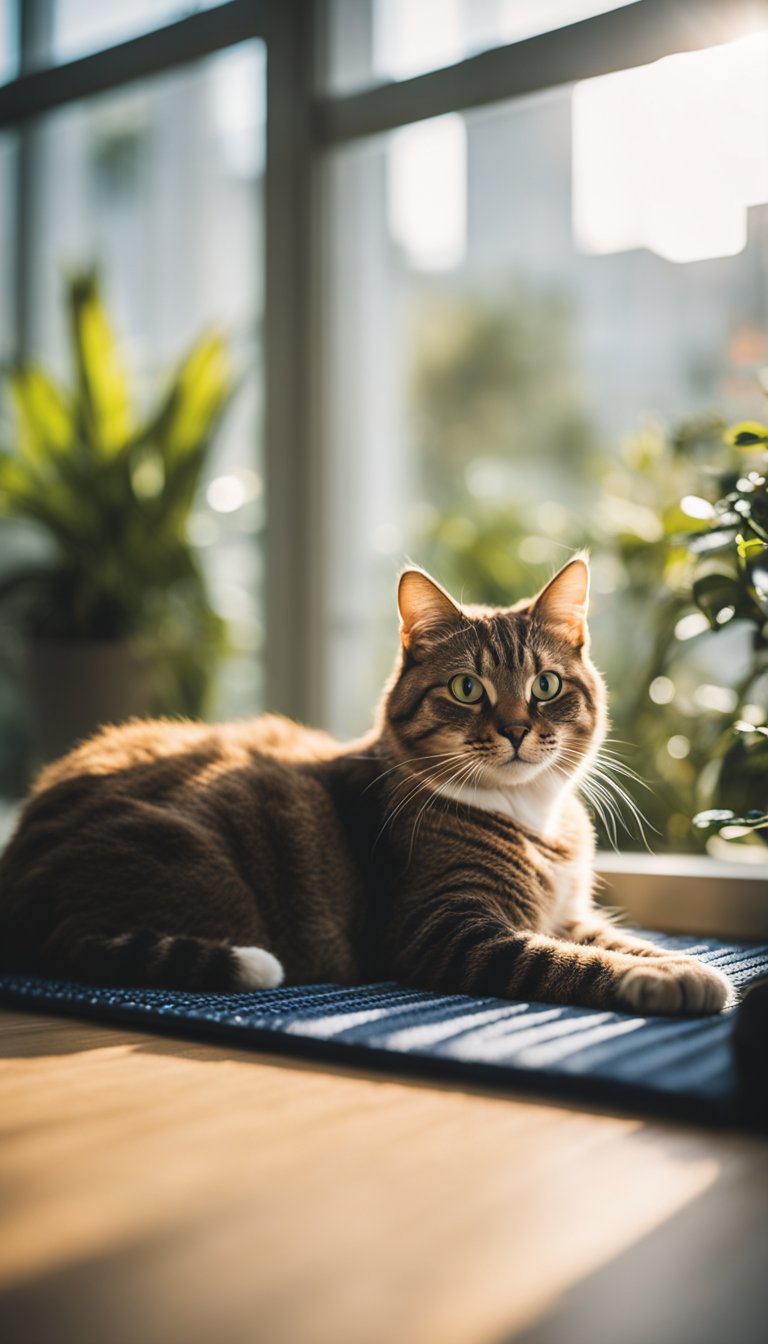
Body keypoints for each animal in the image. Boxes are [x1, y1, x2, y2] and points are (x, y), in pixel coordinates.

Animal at [0, 551, 731, 1010]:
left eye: (545, 686)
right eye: (467, 688)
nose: (518, 730)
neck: (533, 813)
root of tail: (25, 877)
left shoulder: (569, 914)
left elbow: (621, 940)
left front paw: (685, 964)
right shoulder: (439, 930)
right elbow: (564, 960)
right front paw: (664, 979)